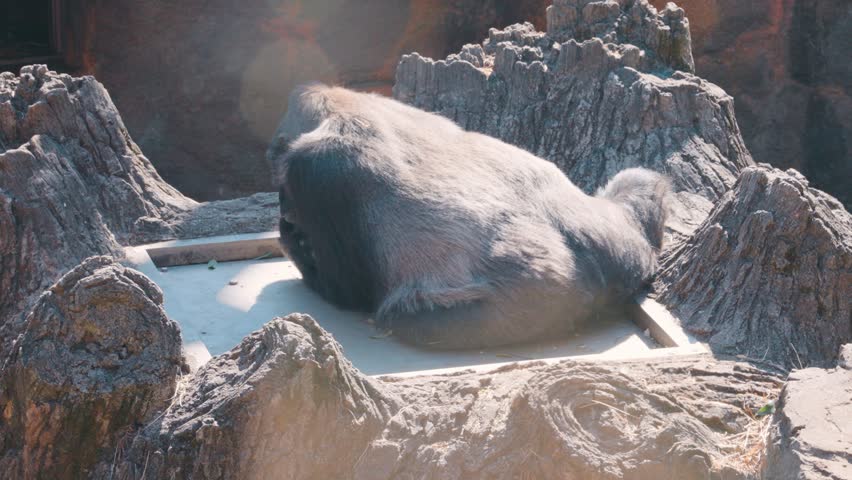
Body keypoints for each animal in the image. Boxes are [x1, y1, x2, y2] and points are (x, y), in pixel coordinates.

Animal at [267, 83, 669, 350]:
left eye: (284, 190)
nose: (285, 209)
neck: (341, 104)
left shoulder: (318, 172)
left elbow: (343, 290)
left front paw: (292, 239)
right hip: (619, 239)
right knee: (636, 188)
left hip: (536, 303)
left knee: (404, 320)